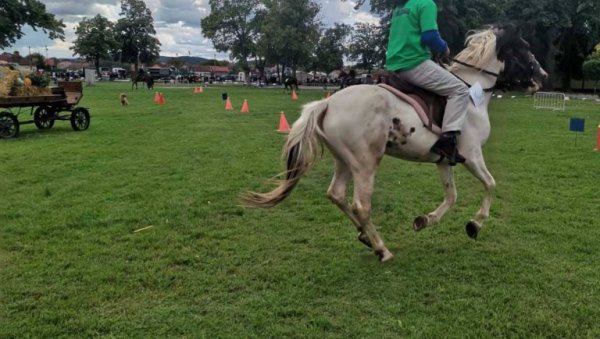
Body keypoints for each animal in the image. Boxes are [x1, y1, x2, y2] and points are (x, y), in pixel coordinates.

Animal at [243, 24, 548, 262]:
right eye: (524, 48)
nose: (543, 76)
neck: (472, 94)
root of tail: (327, 103)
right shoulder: (472, 154)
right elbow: (490, 184)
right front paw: (475, 224)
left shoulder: (444, 160)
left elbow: (451, 196)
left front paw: (425, 220)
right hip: (366, 163)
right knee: (361, 205)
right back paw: (382, 249)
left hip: (344, 160)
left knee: (336, 194)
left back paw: (365, 237)